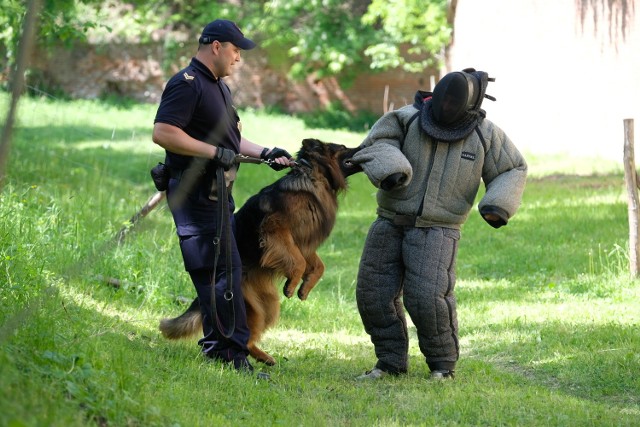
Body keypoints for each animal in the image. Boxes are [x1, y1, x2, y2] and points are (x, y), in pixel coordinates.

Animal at [159, 139, 362, 366]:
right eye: (343, 147)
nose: (363, 147)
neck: (313, 176)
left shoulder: (301, 241)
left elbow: (319, 265)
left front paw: (305, 287)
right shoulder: (278, 230)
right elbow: (299, 263)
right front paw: (292, 284)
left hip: (268, 305)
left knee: (250, 338)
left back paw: (265, 357)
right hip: (246, 305)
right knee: (244, 338)